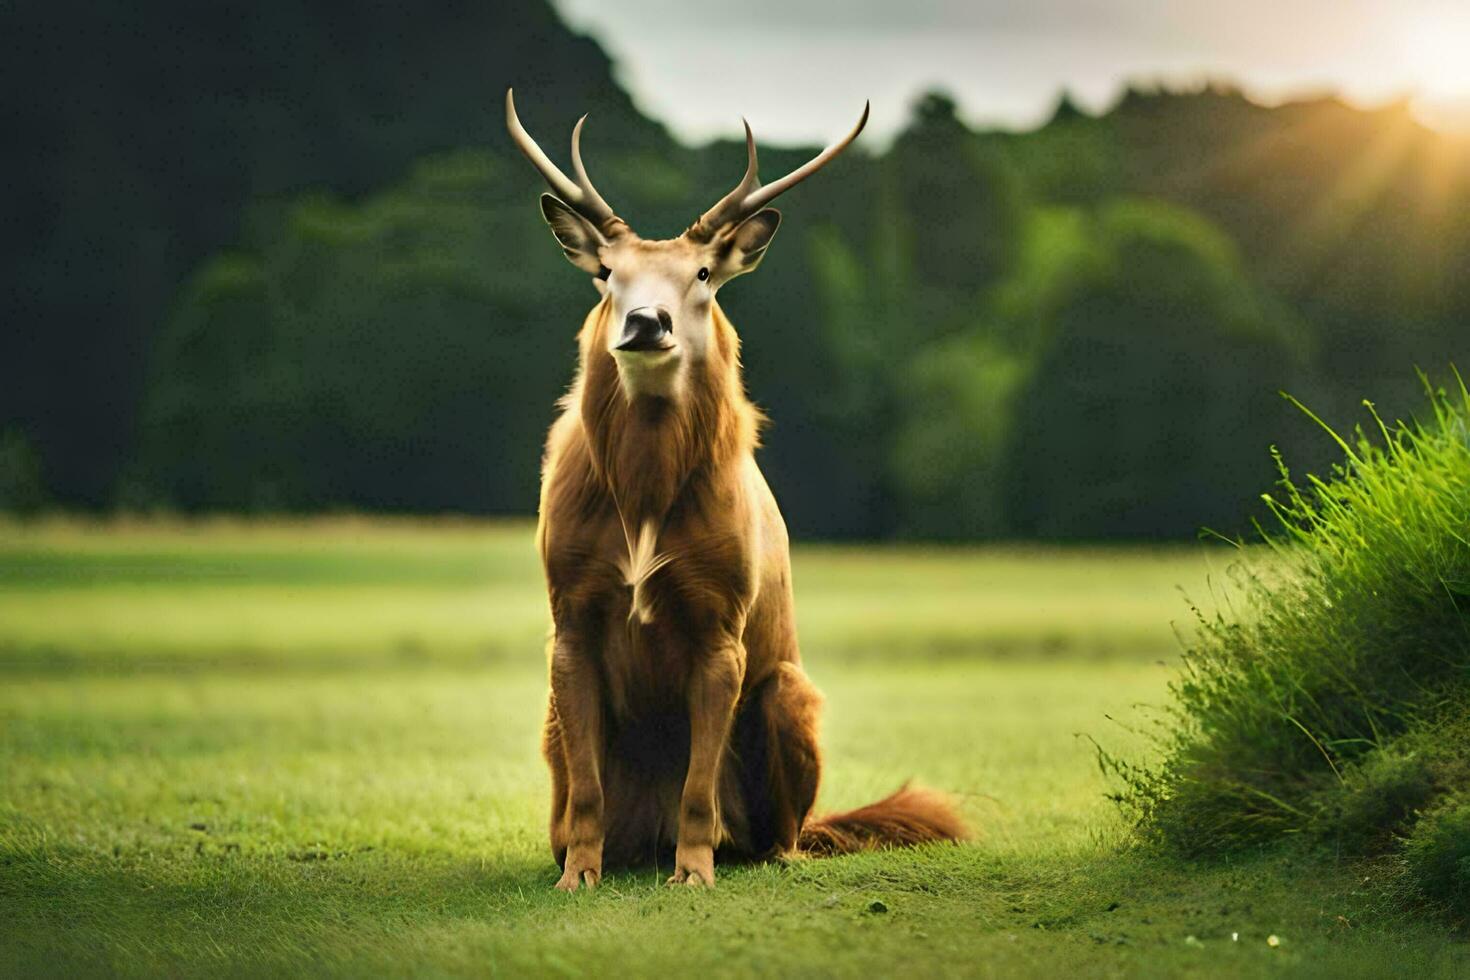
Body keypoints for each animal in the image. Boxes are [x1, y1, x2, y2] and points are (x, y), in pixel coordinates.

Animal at [505, 89, 964, 887]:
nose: (645, 322)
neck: (643, 499)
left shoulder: (723, 620)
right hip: (552, 722)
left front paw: (693, 872)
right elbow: (588, 787)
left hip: (790, 694)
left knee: (788, 833)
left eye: (701, 276)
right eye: (608, 275)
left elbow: (699, 783)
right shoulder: (569, 614)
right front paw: (579, 873)